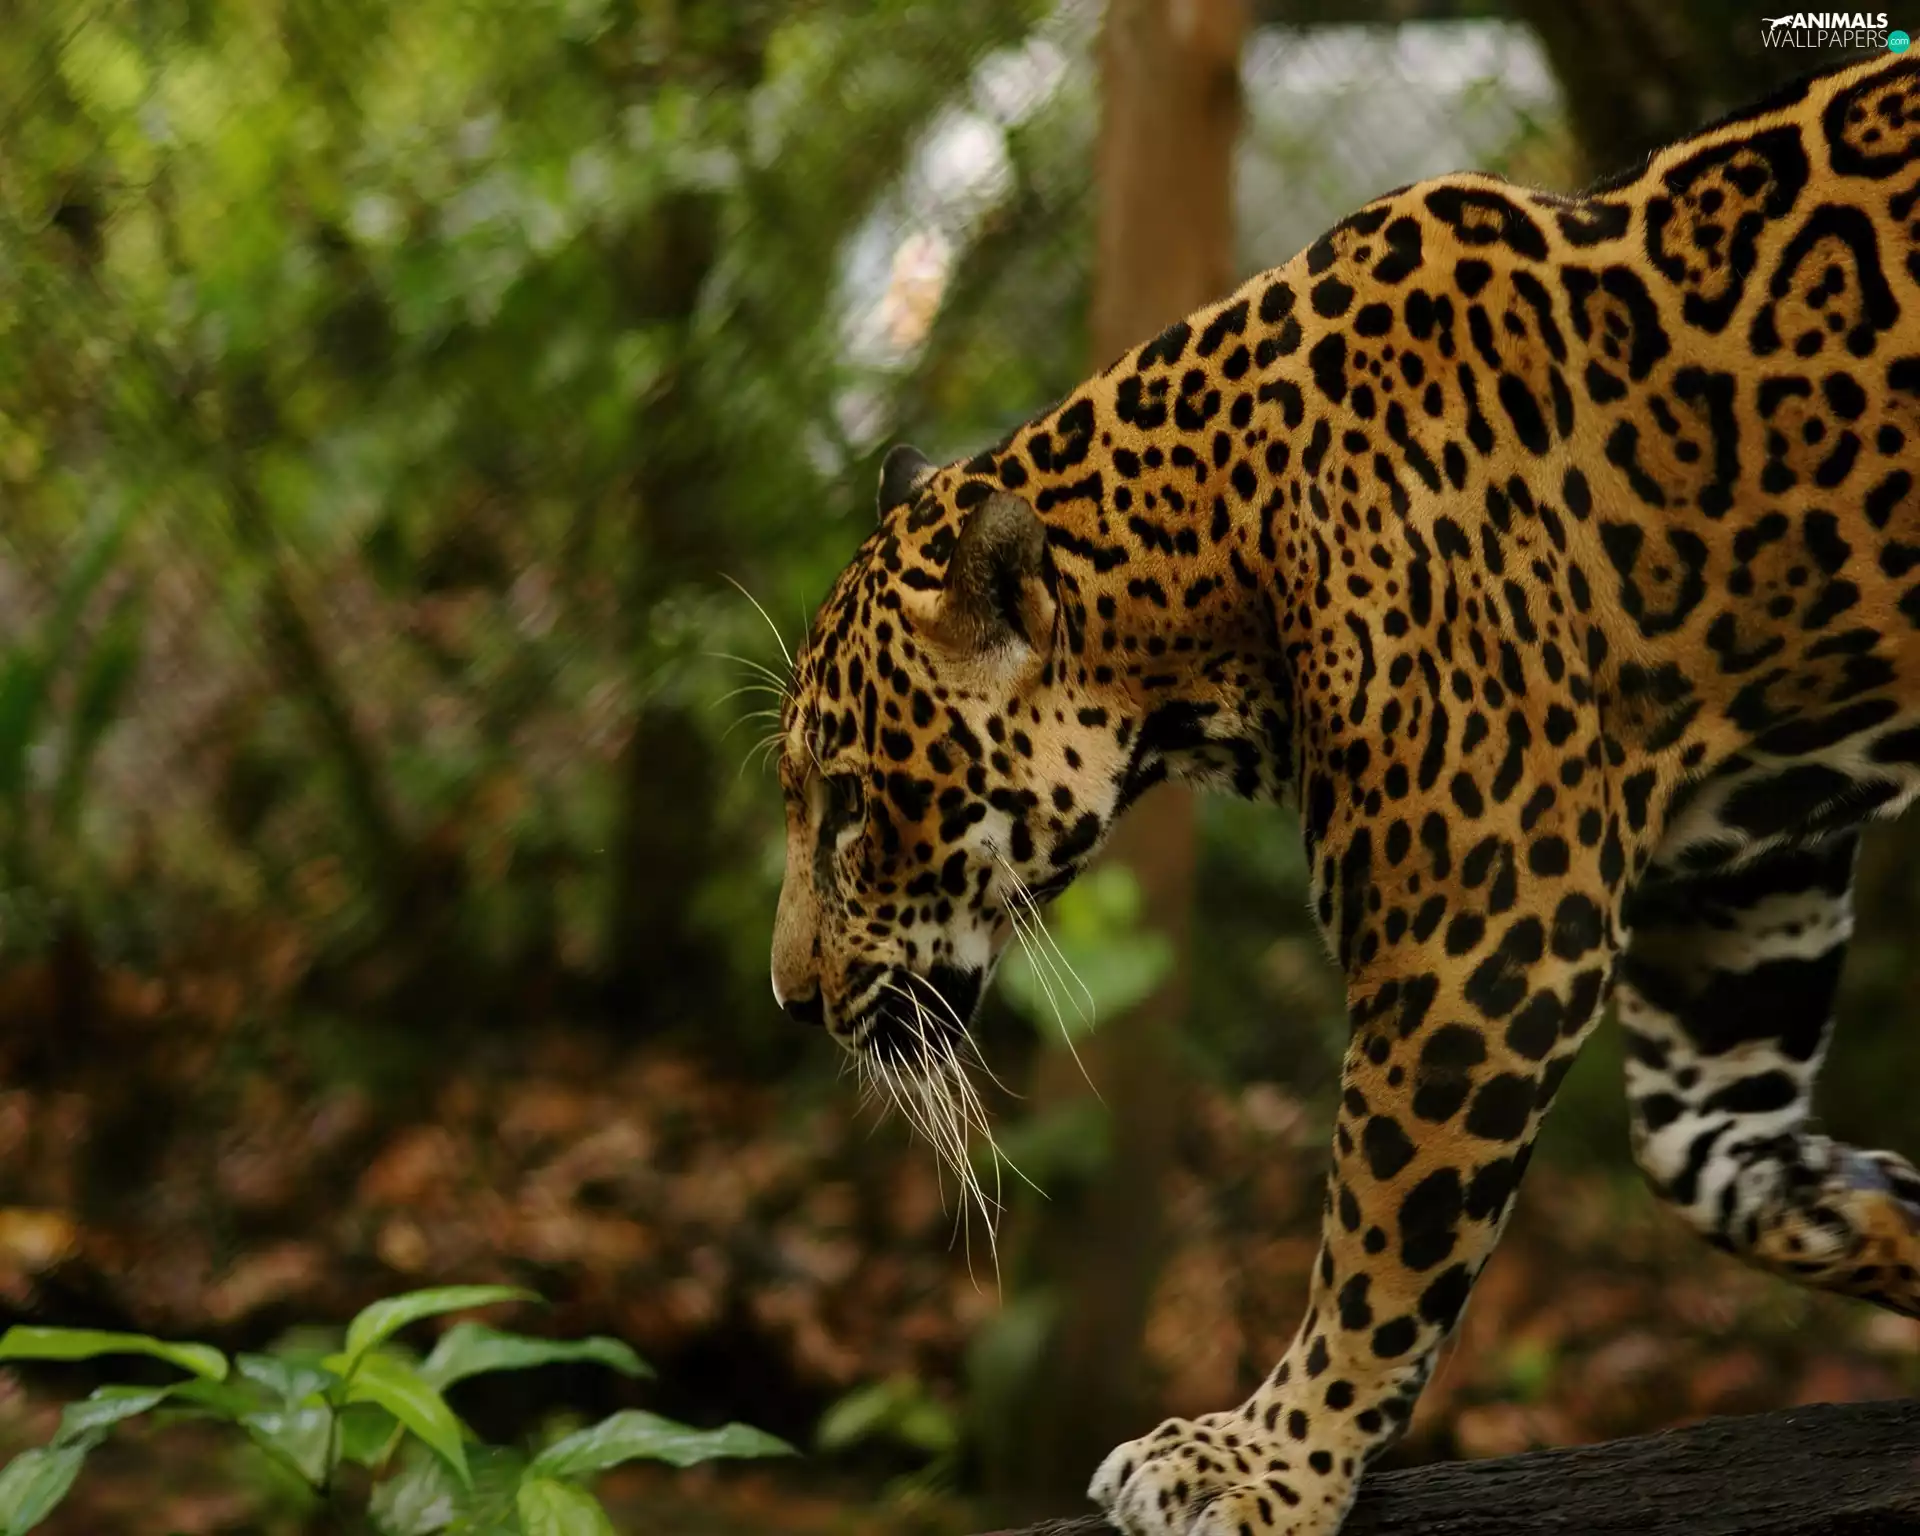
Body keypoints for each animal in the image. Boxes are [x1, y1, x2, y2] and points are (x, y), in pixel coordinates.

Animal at [768, 49, 1920, 1536]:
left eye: (854, 804)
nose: (791, 1000)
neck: (1218, 559)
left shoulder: (1487, 947)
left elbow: (1382, 1250)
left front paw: (1261, 1463)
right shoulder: (1742, 881)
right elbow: (1713, 1159)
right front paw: (1889, 1215)